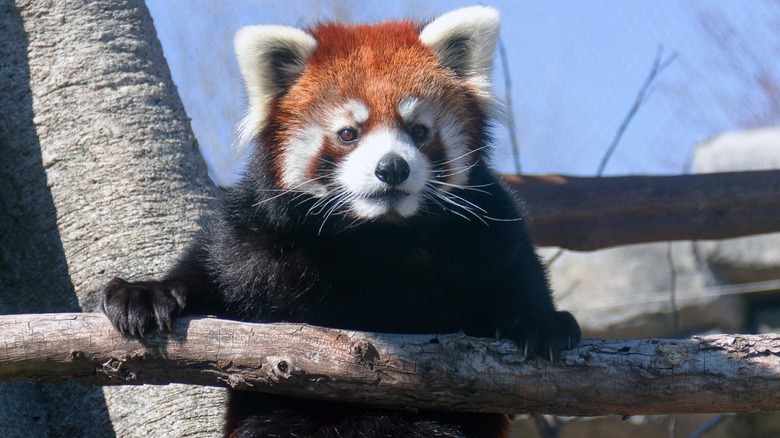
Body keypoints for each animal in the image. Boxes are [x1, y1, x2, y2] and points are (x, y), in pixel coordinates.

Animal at [102, 6, 580, 438]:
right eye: (349, 133)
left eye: (419, 131)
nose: (392, 168)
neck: (373, 236)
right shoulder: (255, 235)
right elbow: (214, 267)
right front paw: (147, 293)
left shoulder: (485, 226)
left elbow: (516, 268)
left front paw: (542, 322)